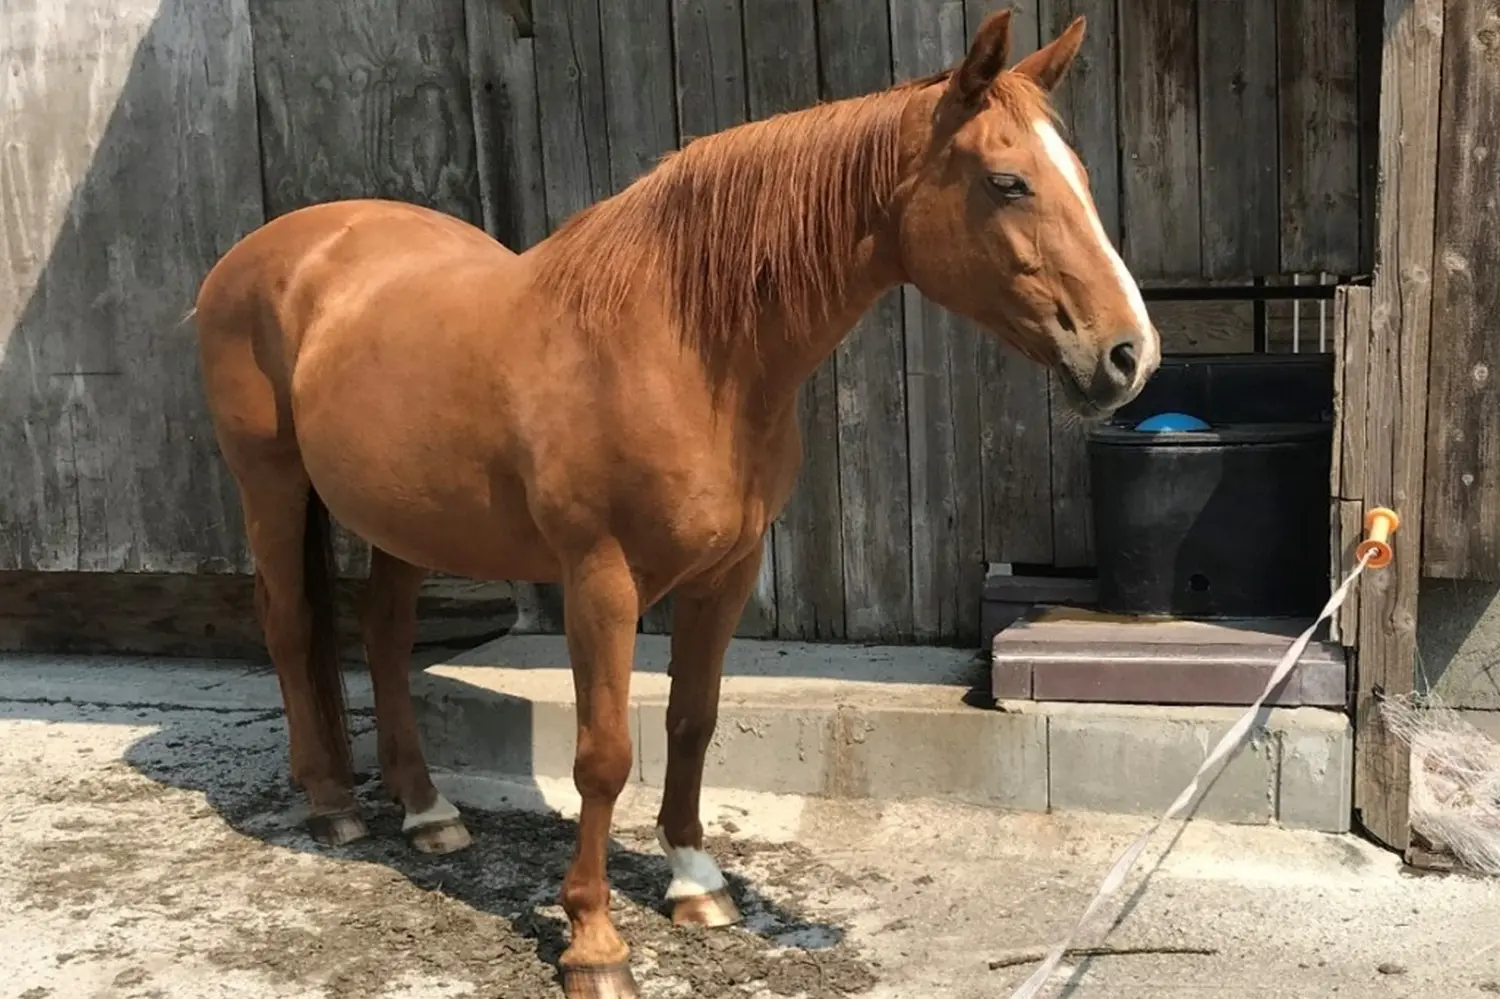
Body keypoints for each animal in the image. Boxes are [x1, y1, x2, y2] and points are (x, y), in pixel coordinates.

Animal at [192, 9, 1158, 997]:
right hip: (272, 484)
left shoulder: (727, 571)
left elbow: (693, 720)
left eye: (1079, 176)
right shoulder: (601, 580)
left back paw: (428, 811)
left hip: (405, 518)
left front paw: (696, 882)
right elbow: (604, 753)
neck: (680, 343)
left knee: (385, 638)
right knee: (291, 623)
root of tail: (274, 248)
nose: (1130, 353)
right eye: (1008, 182)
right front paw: (593, 941)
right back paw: (333, 804)